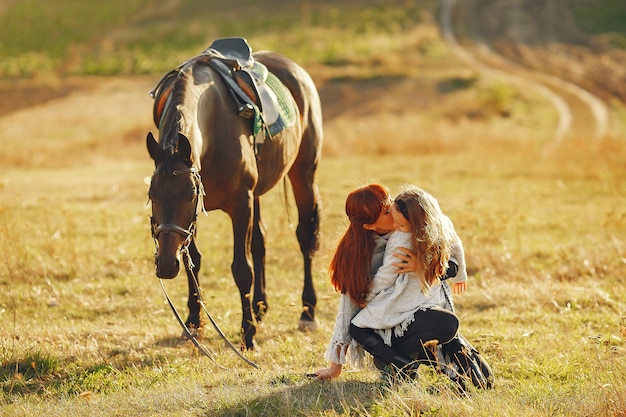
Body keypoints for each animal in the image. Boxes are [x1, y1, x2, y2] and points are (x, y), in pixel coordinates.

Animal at [146, 42, 322, 348]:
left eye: (189, 193)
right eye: (152, 193)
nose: (166, 265)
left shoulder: (240, 203)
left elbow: (242, 268)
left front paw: (247, 332)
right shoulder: (194, 219)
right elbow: (194, 261)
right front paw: (193, 323)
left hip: (303, 174)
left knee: (304, 236)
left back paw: (307, 312)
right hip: (258, 194)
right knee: (261, 240)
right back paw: (261, 306)